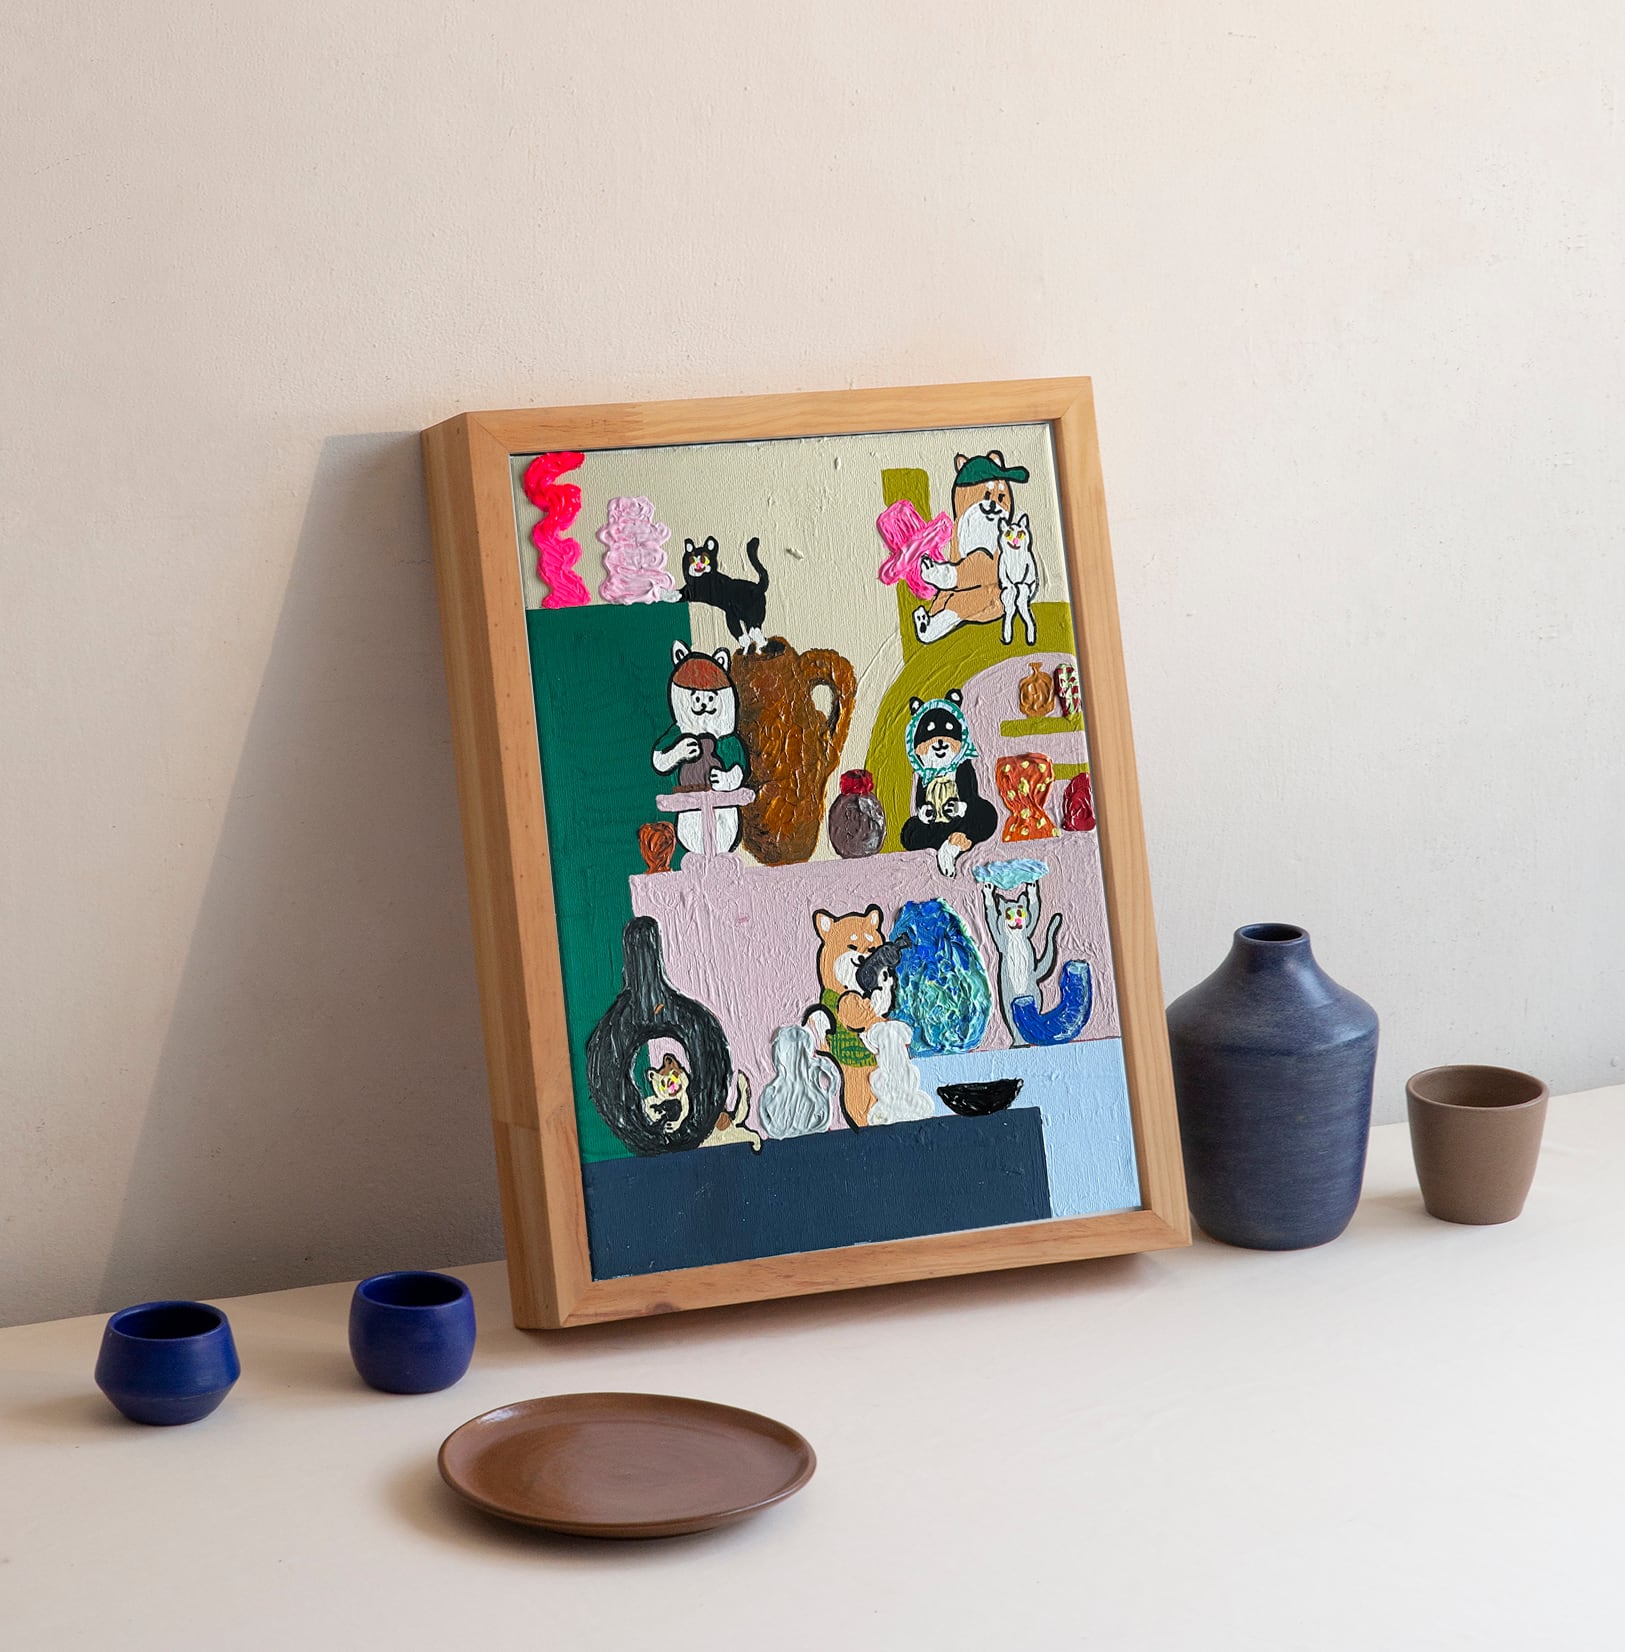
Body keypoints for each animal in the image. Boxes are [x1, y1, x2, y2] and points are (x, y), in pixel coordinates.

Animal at [995, 511, 1038, 646]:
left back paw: (1030, 637)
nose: (1015, 541)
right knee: (1010, 606)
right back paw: (1007, 636)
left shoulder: (1029, 564)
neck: (1015, 555)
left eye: (1020, 534)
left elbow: (1026, 580)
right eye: (1008, 534)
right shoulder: (1002, 564)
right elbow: (1007, 582)